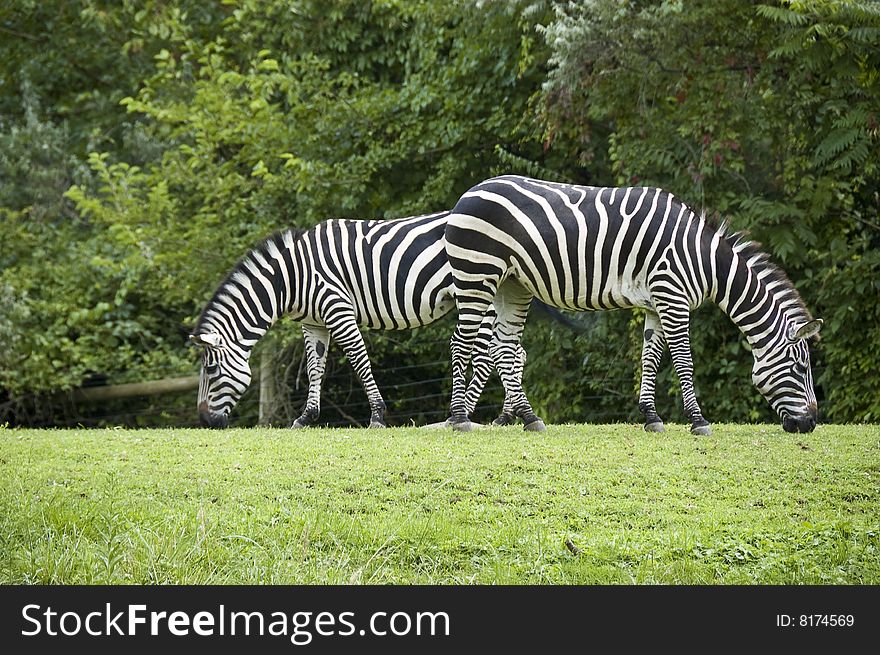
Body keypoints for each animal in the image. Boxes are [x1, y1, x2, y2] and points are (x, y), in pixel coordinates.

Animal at [190, 210, 524, 434]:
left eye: (211, 370)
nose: (204, 421)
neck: (291, 278)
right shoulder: (313, 322)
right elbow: (314, 369)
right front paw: (306, 417)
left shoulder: (337, 307)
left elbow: (359, 360)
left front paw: (376, 415)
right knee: (512, 351)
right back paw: (505, 416)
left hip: (477, 292)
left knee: (487, 355)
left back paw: (465, 413)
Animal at [446, 177, 824, 438]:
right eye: (800, 366)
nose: (811, 423)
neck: (704, 261)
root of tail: (468, 193)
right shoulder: (672, 296)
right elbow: (683, 362)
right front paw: (698, 420)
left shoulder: (657, 303)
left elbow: (651, 358)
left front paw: (651, 417)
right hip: (476, 275)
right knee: (462, 342)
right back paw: (459, 418)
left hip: (512, 285)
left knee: (504, 346)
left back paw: (529, 418)